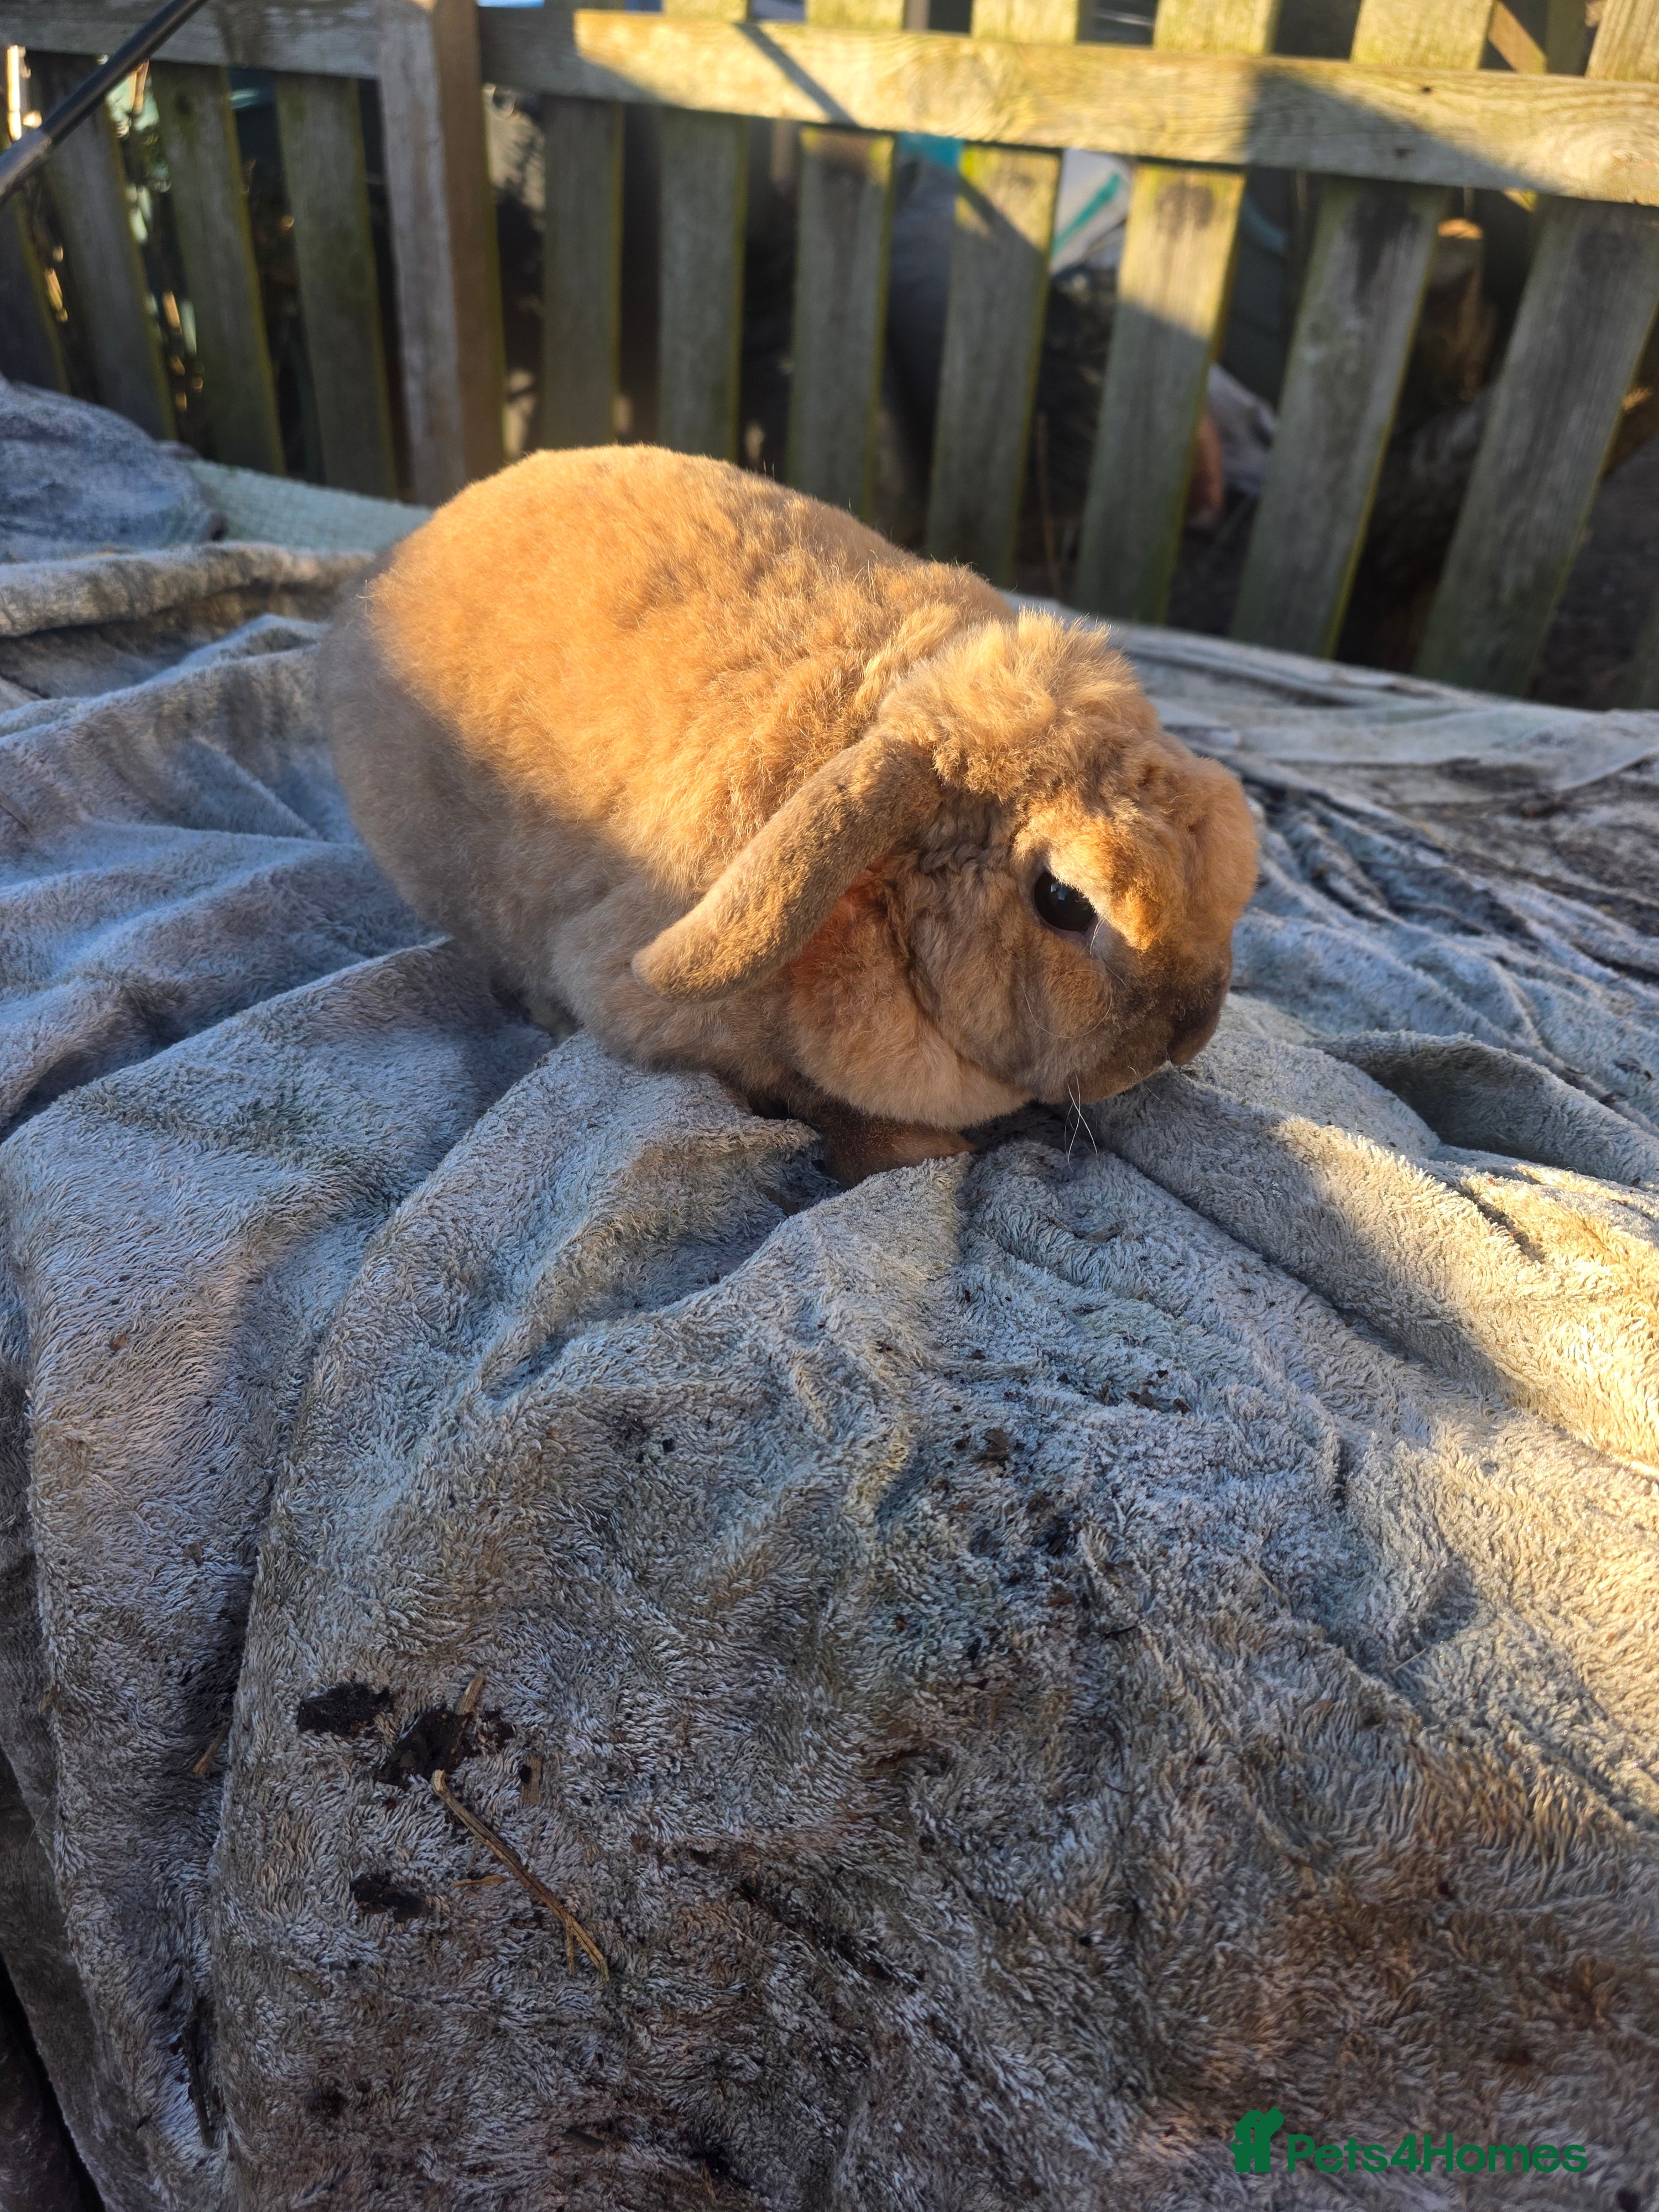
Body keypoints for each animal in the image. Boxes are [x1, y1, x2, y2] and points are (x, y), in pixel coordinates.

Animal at [318, 446, 1258, 1184]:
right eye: (1064, 903)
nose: (1191, 1034)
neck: (879, 900)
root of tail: (392, 562)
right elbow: (805, 1095)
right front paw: (916, 1150)